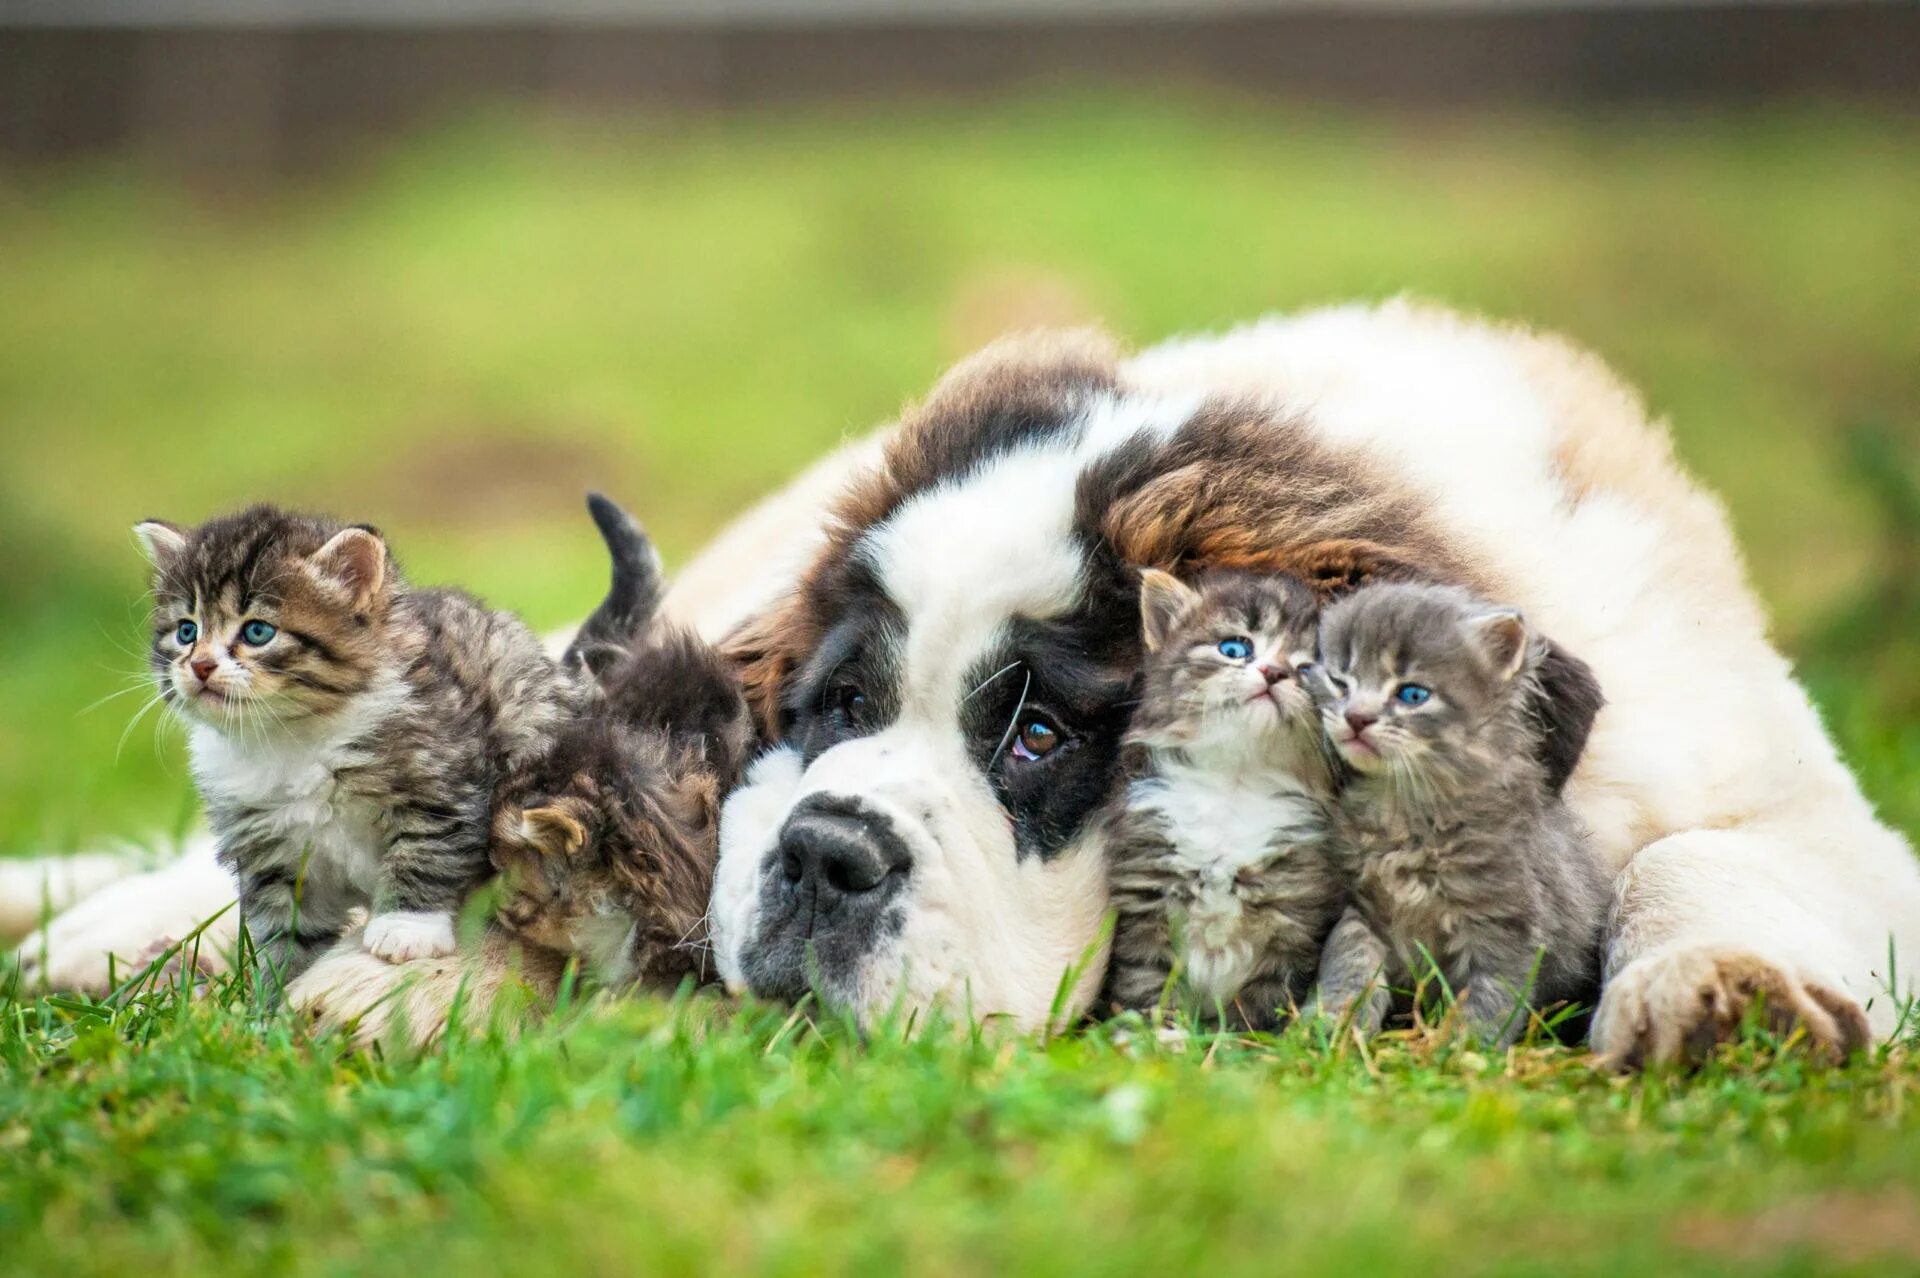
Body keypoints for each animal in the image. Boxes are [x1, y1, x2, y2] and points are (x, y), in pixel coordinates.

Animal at [135, 491, 648, 978]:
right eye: (186, 631)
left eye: (258, 631)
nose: (200, 666)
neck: (289, 738)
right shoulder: (267, 847)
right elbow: (285, 927)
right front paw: (277, 992)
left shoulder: (444, 779)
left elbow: (427, 852)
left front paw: (407, 929)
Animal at [1098, 568, 1351, 1028]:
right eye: (1235, 649)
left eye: (1308, 670)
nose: (1274, 672)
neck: (1236, 785)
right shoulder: (1147, 899)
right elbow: (1147, 979)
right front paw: (1156, 1032)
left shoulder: (1297, 918)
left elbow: (1262, 1003)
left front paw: (1235, 1038)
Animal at [1313, 583, 1612, 1043]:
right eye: (1339, 681)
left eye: (1412, 695)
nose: (1356, 718)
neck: (1404, 810)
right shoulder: (1360, 907)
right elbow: (1350, 962)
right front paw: (1337, 1024)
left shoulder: (1505, 924)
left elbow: (1489, 1001)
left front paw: (1458, 1048)